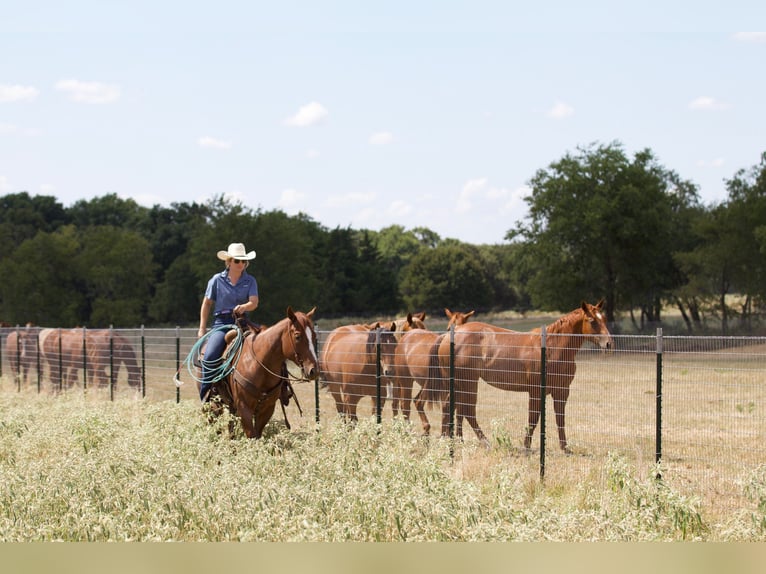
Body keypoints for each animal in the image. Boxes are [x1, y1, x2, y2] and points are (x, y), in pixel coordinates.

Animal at [207, 308, 320, 438]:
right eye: (297, 336)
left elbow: (258, 434)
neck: (259, 364)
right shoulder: (243, 408)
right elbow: (251, 435)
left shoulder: (267, 409)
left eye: (314, 336)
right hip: (213, 402)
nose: (314, 370)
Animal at [416, 302, 616, 454]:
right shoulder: (536, 391)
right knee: (467, 411)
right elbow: (533, 418)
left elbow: (560, 419)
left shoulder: (561, 391)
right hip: (468, 382)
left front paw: (565, 448)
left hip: (458, 383)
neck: (553, 348)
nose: (609, 344)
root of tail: (449, 335)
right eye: (591, 320)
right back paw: (483, 442)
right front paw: (526, 446)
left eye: (604, 319)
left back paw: (450, 440)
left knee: (450, 407)